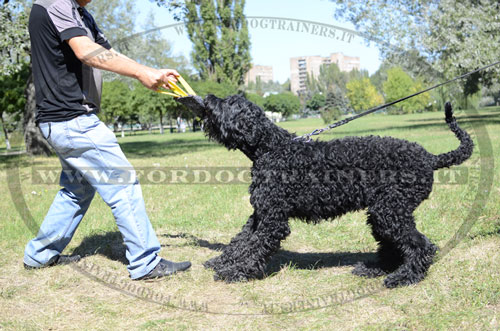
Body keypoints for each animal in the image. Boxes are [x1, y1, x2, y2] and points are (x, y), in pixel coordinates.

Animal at [179, 94, 472, 288]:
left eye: (229, 103)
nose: (208, 97)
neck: (271, 148)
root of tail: (430, 158)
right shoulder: (260, 213)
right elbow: (240, 240)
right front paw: (222, 262)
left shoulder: (273, 219)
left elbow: (254, 247)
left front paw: (235, 271)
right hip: (384, 214)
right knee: (395, 246)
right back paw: (375, 270)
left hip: (390, 211)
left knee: (421, 246)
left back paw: (404, 277)